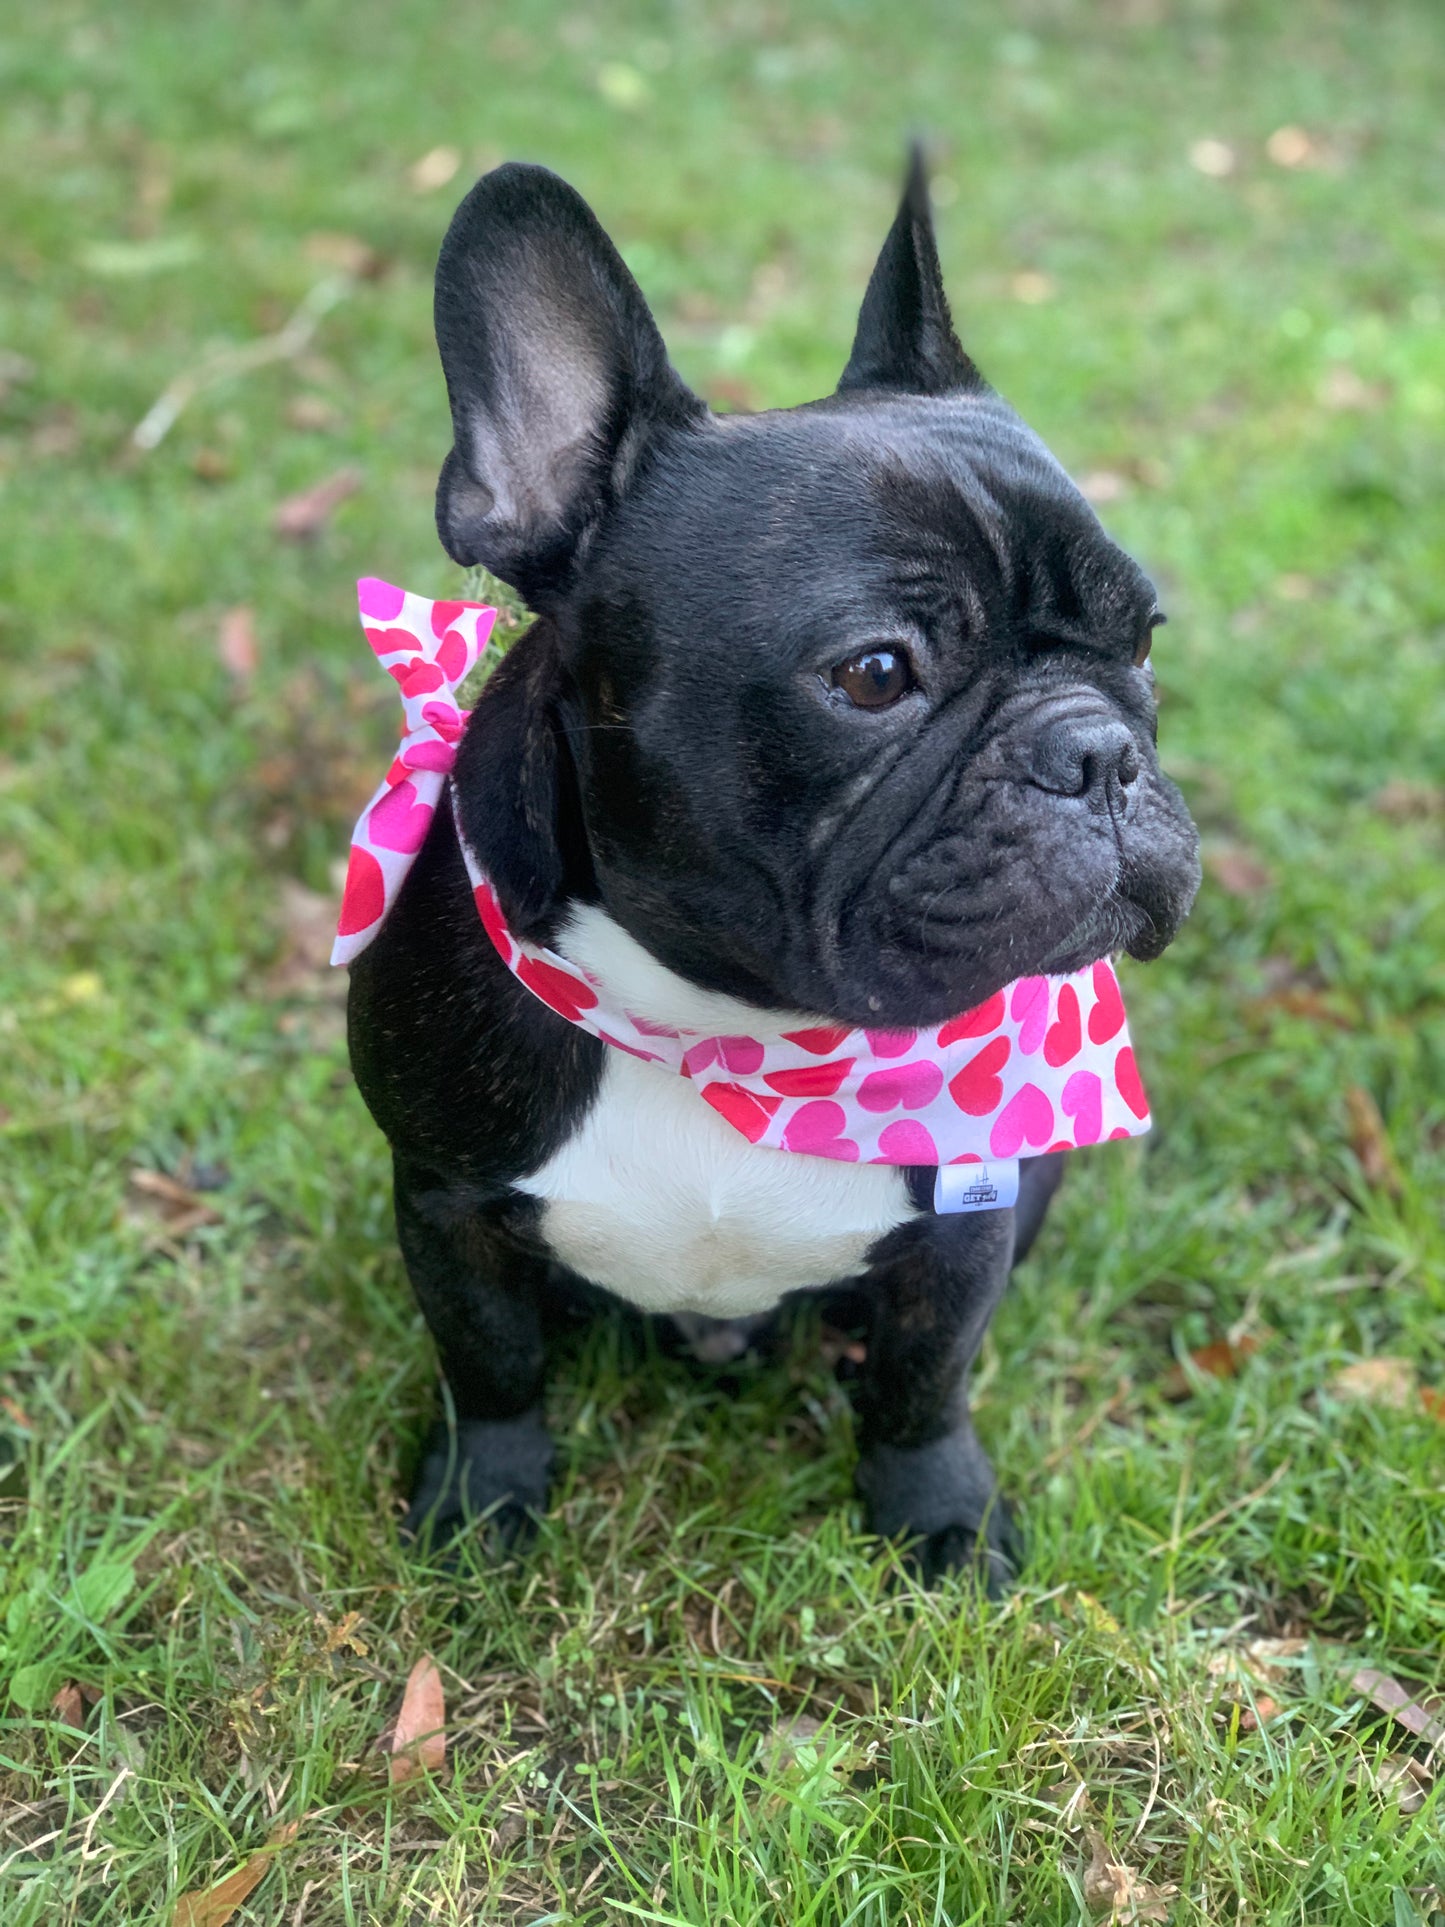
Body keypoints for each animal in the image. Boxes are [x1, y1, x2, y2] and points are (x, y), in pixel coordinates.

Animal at [348, 158, 1202, 1587]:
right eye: (874, 673)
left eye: (1139, 639)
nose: (1097, 751)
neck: (728, 1029)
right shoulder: (446, 1199)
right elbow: (493, 1366)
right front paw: (482, 1505)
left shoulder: (965, 1221)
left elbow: (926, 1384)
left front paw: (940, 1521)